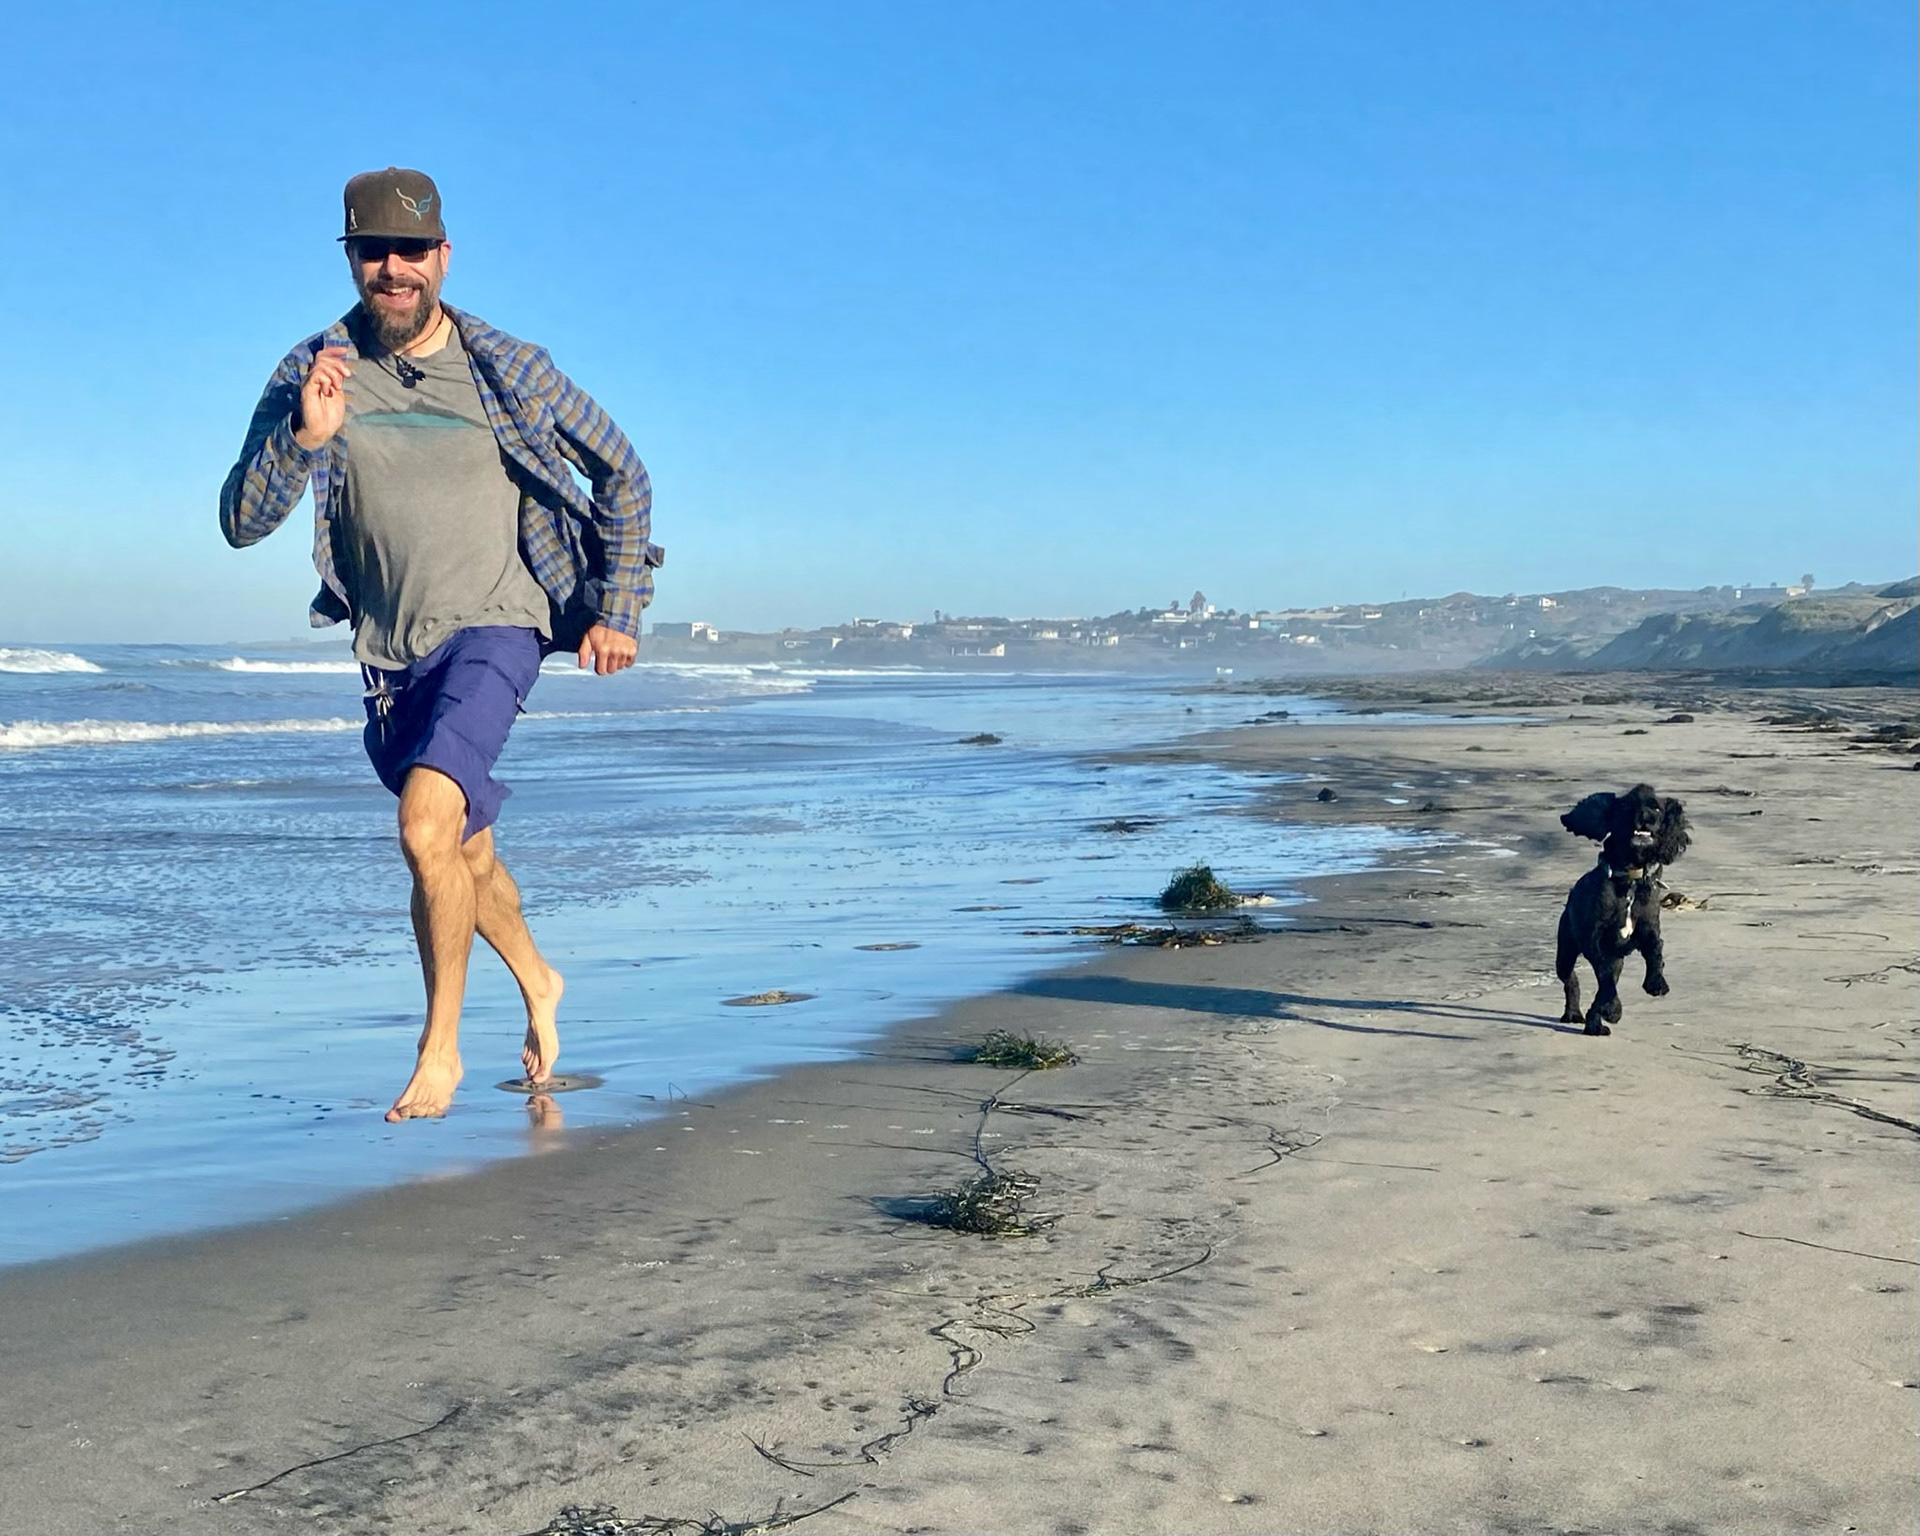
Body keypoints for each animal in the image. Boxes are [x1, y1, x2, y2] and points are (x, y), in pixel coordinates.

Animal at [1555, 784, 1690, 1035]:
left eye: (1657, 807)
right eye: (1627, 807)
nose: (1647, 817)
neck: (1630, 880)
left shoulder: (1648, 928)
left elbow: (1655, 951)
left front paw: (1656, 983)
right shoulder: (1595, 941)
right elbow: (1605, 980)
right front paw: (1613, 1009)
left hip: (1616, 959)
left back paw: (1595, 1024)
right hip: (1566, 952)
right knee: (1572, 981)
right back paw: (1575, 1014)